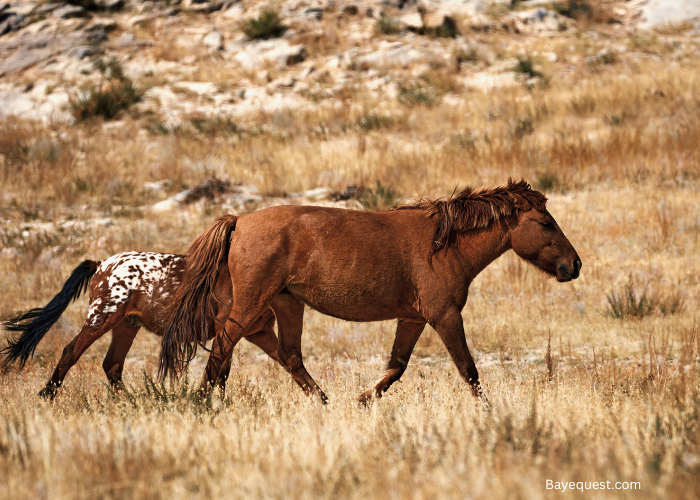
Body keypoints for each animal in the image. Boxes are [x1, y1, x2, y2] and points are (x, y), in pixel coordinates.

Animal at [2, 250, 286, 398]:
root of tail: (101, 265)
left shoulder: (257, 332)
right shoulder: (228, 331)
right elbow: (219, 371)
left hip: (126, 325)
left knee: (112, 364)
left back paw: (127, 401)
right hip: (101, 318)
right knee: (71, 352)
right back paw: (48, 394)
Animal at [161, 178, 584, 404]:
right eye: (545, 223)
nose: (575, 265)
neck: (444, 245)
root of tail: (240, 221)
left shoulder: (413, 319)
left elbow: (396, 366)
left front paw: (363, 400)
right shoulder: (445, 316)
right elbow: (468, 369)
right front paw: (490, 412)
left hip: (287, 303)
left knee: (287, 354)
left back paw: (325, 403)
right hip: (252, 304)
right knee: (224, 345)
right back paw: (203, 400)